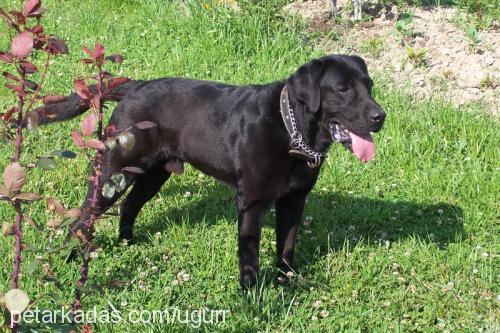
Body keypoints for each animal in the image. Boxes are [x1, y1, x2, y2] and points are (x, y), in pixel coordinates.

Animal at [36, 53, 386, 286]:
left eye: (369, 85)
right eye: (342, 89)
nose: (379, 117)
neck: (293, 130)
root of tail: (137, 86)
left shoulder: (295, 200)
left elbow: (286, 246)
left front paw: (287, 282)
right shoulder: (251, 202)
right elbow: (249, 253)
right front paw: (252, 296)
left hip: (154, 174)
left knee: (130, 206)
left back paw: (128, 245)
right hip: (114, 170)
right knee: (84, 216)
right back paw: (70, 260)